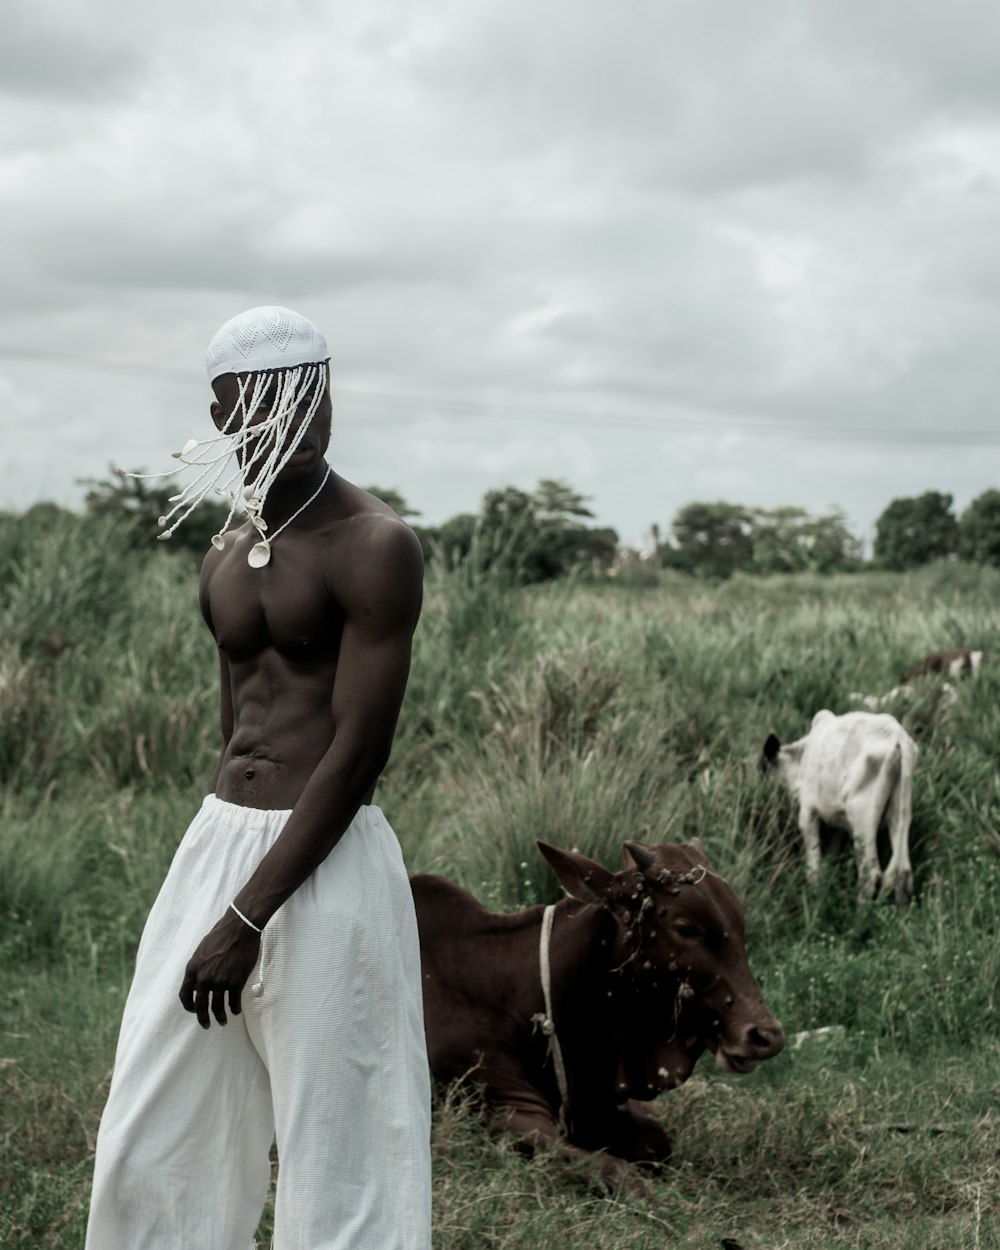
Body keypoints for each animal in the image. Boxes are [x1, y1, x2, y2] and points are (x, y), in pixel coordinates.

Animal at [410, 840, 785, 1190]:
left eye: (739, 921)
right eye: (685, 928)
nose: (766, 1036)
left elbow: (656, 1141)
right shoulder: (507, 1112)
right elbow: (619, 1173)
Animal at [760, 710, 920, 905]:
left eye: (763, 769)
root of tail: (898, 738)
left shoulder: (807, 813)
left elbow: (814, 868)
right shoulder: (837, 823)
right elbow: (831, 856)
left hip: (862, 820)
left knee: (870, 874)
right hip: (899, 814)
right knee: (902, 872)